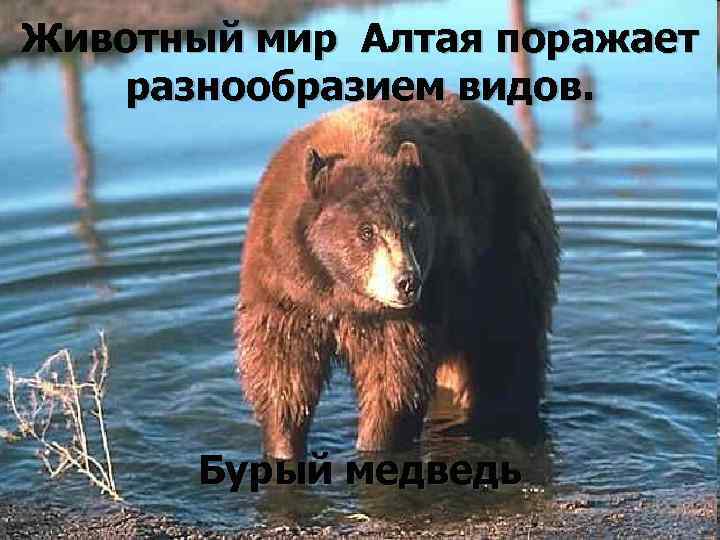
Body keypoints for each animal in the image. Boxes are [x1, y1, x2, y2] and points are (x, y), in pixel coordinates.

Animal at [235, 93, 559, 459]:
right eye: (366, 231)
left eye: (413, 229)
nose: (407, 282)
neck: (339, 290)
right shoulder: (285, 290)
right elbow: (282, 371)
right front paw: (282, 442)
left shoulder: (409, 310)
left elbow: (394, 378)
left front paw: (375, 443)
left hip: (503, 254)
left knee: (509, 347)